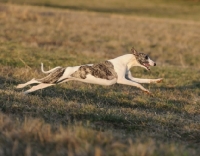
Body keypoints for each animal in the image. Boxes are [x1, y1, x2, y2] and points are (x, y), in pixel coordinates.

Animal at [15, 47, 162, 94]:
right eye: (146, 57)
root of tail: (62, 68)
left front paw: (156, 82)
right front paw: (146, 91)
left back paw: (24, 93)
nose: (155, 63)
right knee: (33, 79)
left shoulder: (129, 77)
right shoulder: (121, 80)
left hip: (52, 82)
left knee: (35, 86)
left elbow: (144, 81)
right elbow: (137, 84)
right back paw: (19, 86)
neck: (125, 62)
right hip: (52, 79)